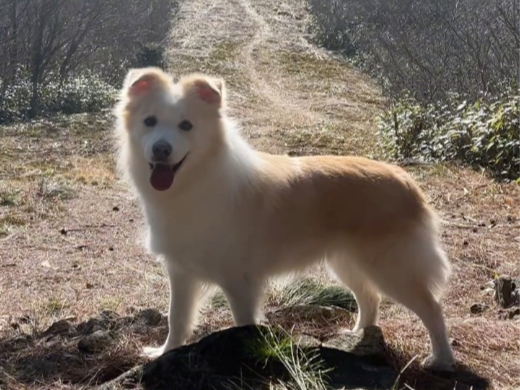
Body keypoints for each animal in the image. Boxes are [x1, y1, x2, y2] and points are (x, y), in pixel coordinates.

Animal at [114, 68, 456, 372]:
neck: (196, 181)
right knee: (370, 299)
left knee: (432, 308)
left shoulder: (239, 282)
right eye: (149, 122)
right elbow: (177, 319)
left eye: (186, 125)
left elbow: (242, 326)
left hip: (390, 268)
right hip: (347, 262)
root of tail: (406, 179)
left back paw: (442, 360)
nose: (161, 150)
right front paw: (164, 353)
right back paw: (358, 338)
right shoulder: (181, 271)